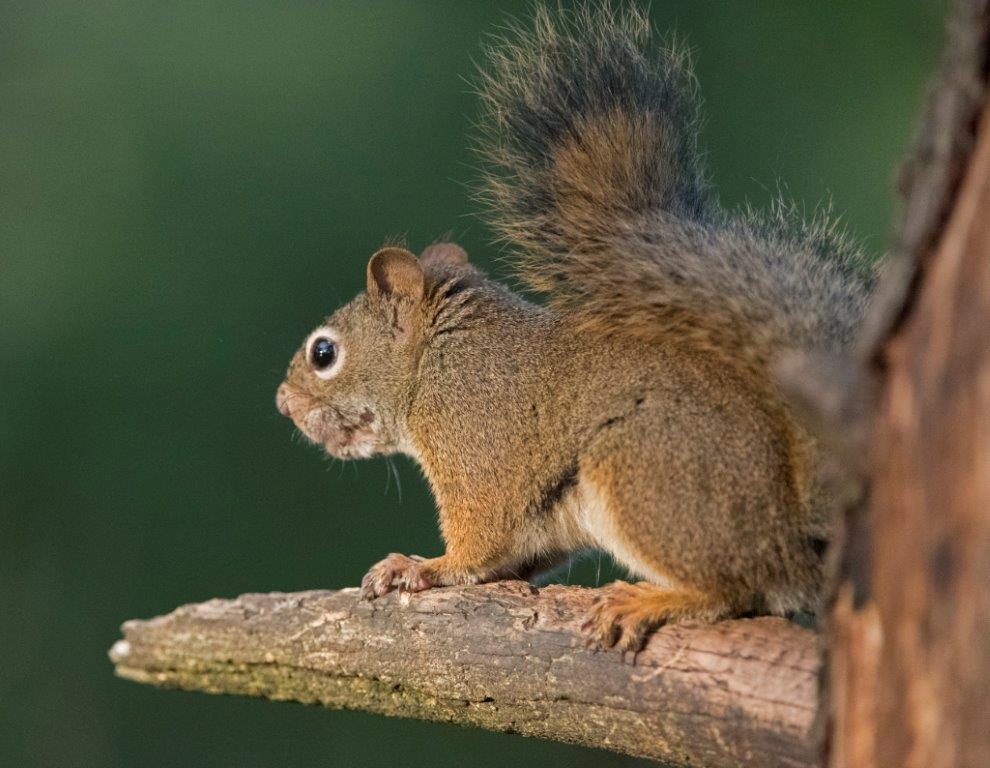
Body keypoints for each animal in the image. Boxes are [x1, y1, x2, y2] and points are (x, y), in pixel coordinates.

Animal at [275, 4, 873, 652]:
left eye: (324, 353)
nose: (282, 402)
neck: (436, 360)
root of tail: (797, 534)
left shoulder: (477, 444)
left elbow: (476, 544)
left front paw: (422, 566)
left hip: (643, 472)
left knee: (735, 588)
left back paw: (648, 600)